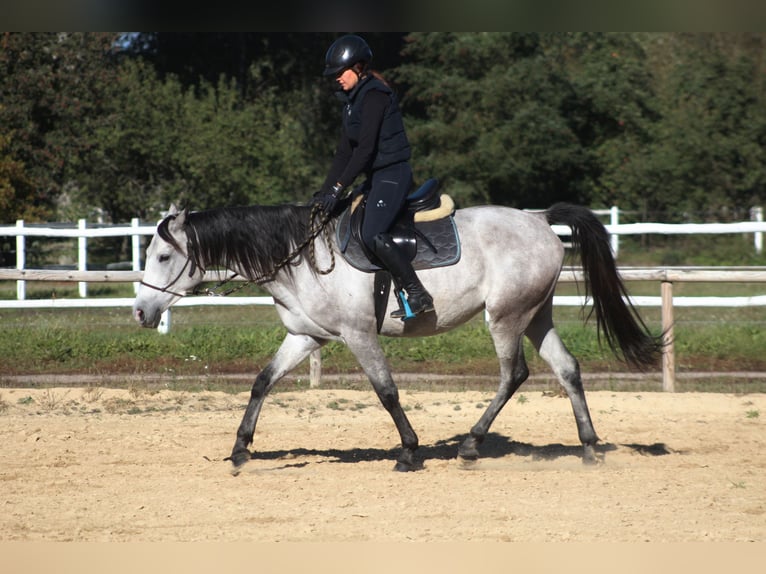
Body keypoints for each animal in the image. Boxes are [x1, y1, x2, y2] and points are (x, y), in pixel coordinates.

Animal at [134, 201, 664, 472]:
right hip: (535, 316)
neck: (300, 257)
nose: (141, 311)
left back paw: (471, 445)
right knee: (568, 369)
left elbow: (386, 391)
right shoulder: (306, 338)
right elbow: (262, 382)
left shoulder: (358, 335)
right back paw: (589, 446)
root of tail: (538, 219)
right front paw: (241, 449)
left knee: (514, 375)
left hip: (506, 318)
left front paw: (409, 451)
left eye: (162, 256)